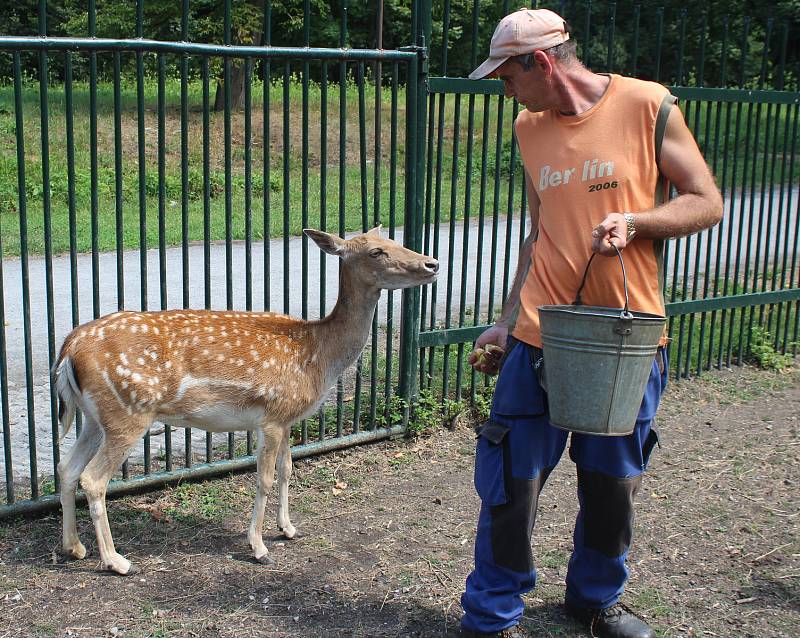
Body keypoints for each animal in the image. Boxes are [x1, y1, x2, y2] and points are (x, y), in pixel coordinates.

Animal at [53, 229, 440, 576]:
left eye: (394, 239)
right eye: (376, 251)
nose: (433, 263)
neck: (319, 356)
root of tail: (69, 348)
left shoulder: (287, 416)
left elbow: (287, 471)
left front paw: (288, 529)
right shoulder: (271, 416)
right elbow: (265, 479)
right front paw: (259, 548)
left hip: (95, 417)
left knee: (67, 467)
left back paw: (74, 547)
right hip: (128, 412)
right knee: (93, 479)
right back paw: (117, 561)